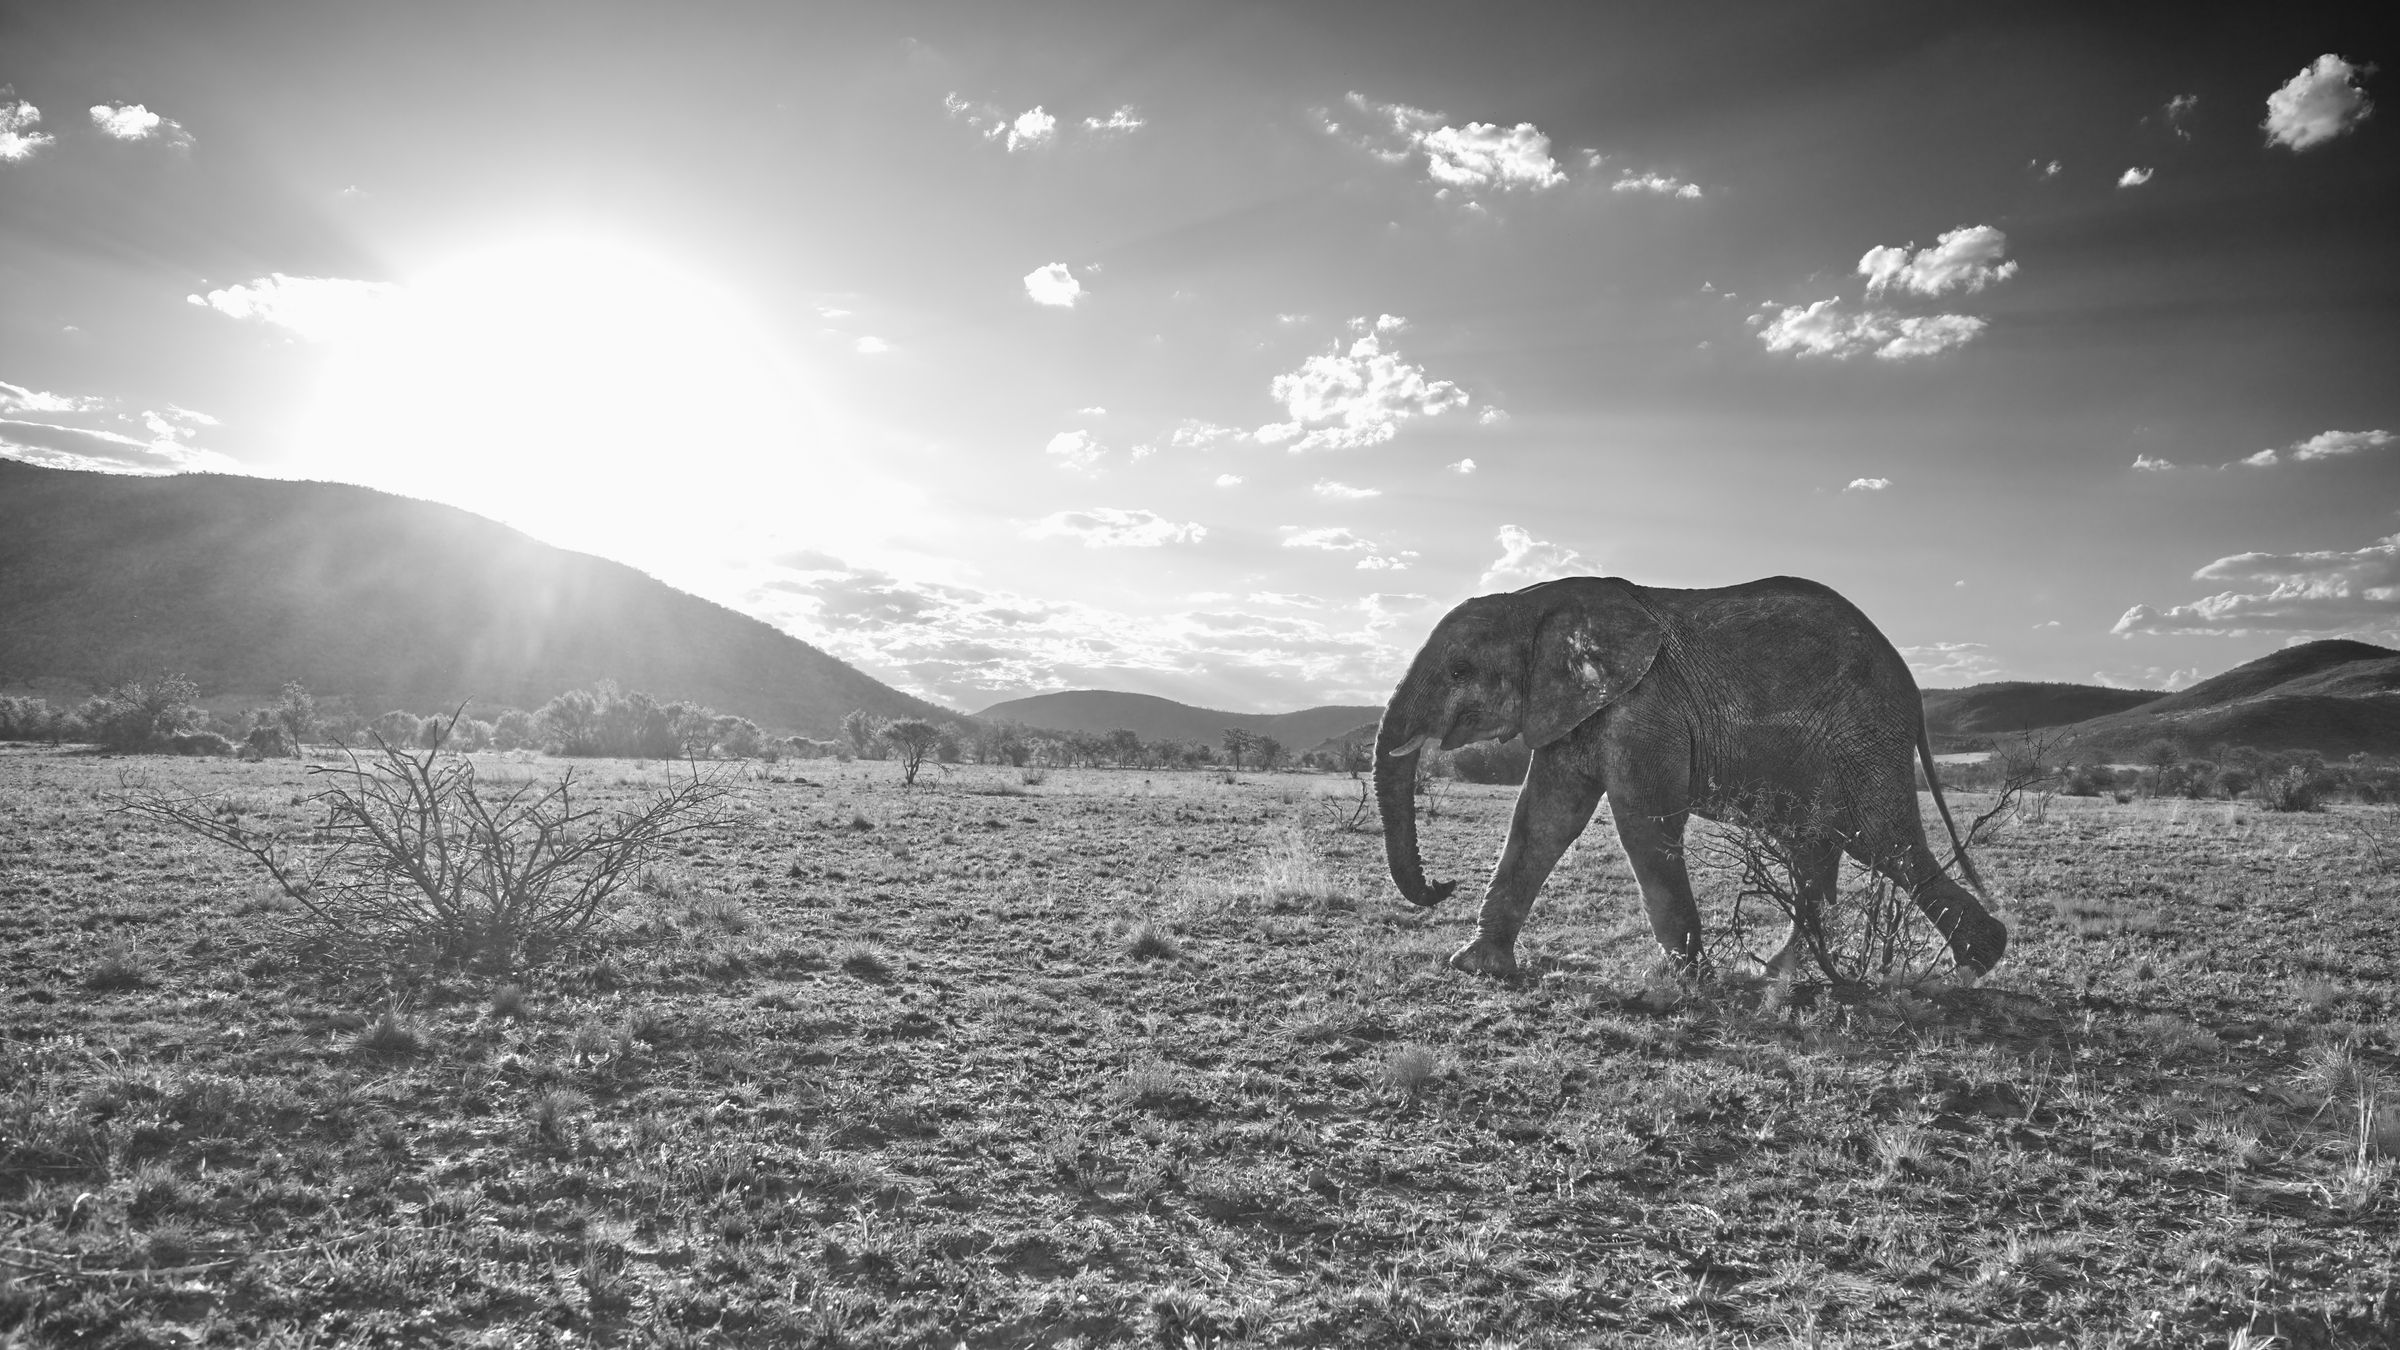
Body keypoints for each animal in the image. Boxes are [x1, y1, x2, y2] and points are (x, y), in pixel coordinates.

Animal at [1382, 571, 1996, 970]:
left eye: (1459, 670)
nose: (1441, 884)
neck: (1537, 601)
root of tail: (1913, 689)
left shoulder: (1647, 708)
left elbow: (1643, 823)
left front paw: (1685, 978)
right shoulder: (1573, 708)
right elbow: (1543, 820)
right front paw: (1476, 965)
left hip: (1865, 736)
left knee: (1884, 842)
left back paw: (1973, 964)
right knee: (1821, 851)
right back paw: (1782, 974)